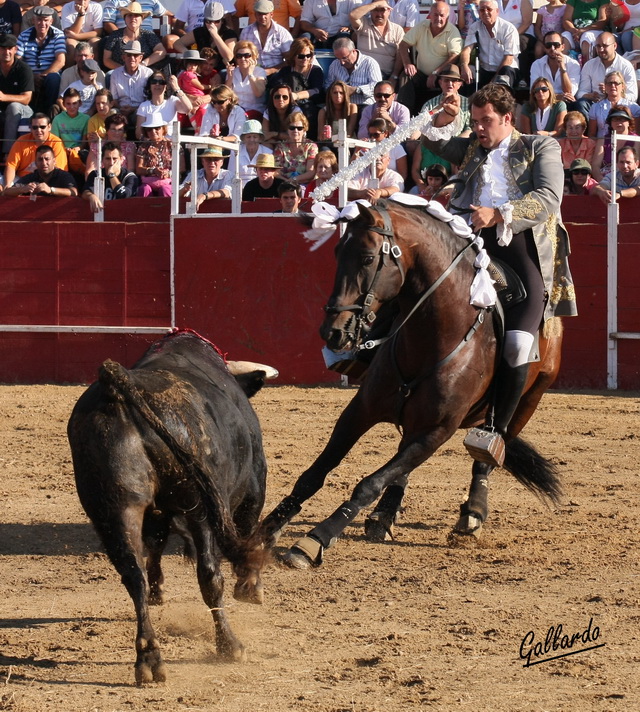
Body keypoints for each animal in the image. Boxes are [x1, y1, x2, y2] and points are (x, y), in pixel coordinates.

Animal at [67, 330, 276, 688]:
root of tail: (117, 386)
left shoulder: (155, 512)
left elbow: (155, 546)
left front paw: (158, 590)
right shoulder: (252, 486)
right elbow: (248, 533)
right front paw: (250, 587)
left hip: (114, 508)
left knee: (132, 573)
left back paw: (149, 658)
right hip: (199, 508)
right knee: (210, 574)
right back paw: (229, 645)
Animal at [258, 199, 564, 568]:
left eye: (367, 258)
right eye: (336, 252)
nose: (332, 331)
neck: (432, 338)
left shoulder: (436, 432)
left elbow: (369, 483)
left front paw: (314, 539)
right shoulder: (360, 410)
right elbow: (316, 472)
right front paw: (266, 528)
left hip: (525, 404)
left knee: (487, 455)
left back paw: (472, 514)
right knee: (401, 464)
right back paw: (384, 515)